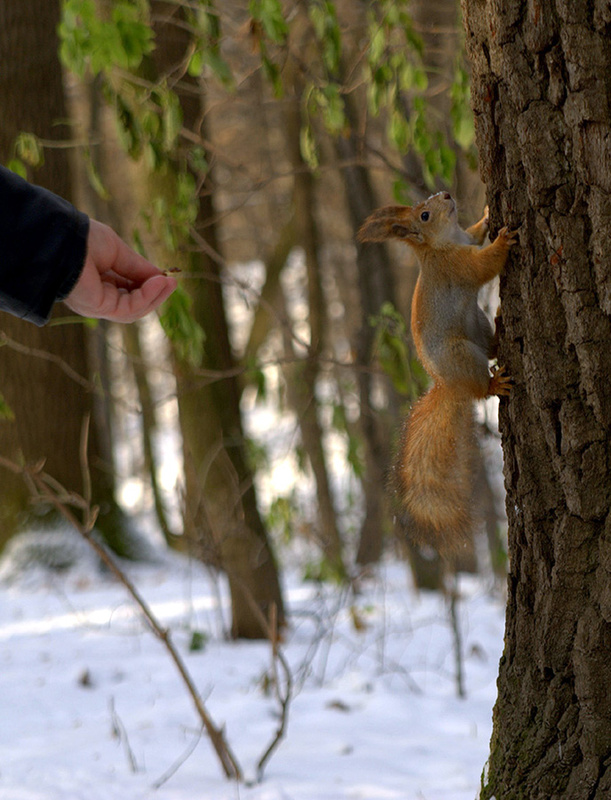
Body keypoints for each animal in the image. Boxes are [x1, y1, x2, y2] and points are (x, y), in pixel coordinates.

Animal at [356, 190, 520, 552]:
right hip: (462, 355)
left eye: (426, 202)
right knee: (481, 386)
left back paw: (499, 327)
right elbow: (483, 266)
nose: (446, 194)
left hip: (477, 325)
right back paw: (495, 383)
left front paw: (485, 216)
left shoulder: (466, 240)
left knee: (490, 348)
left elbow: (476, 234)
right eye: (425, 216)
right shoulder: (456, 267)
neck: (441, 245)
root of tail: (450, 385)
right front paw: (503, 240)